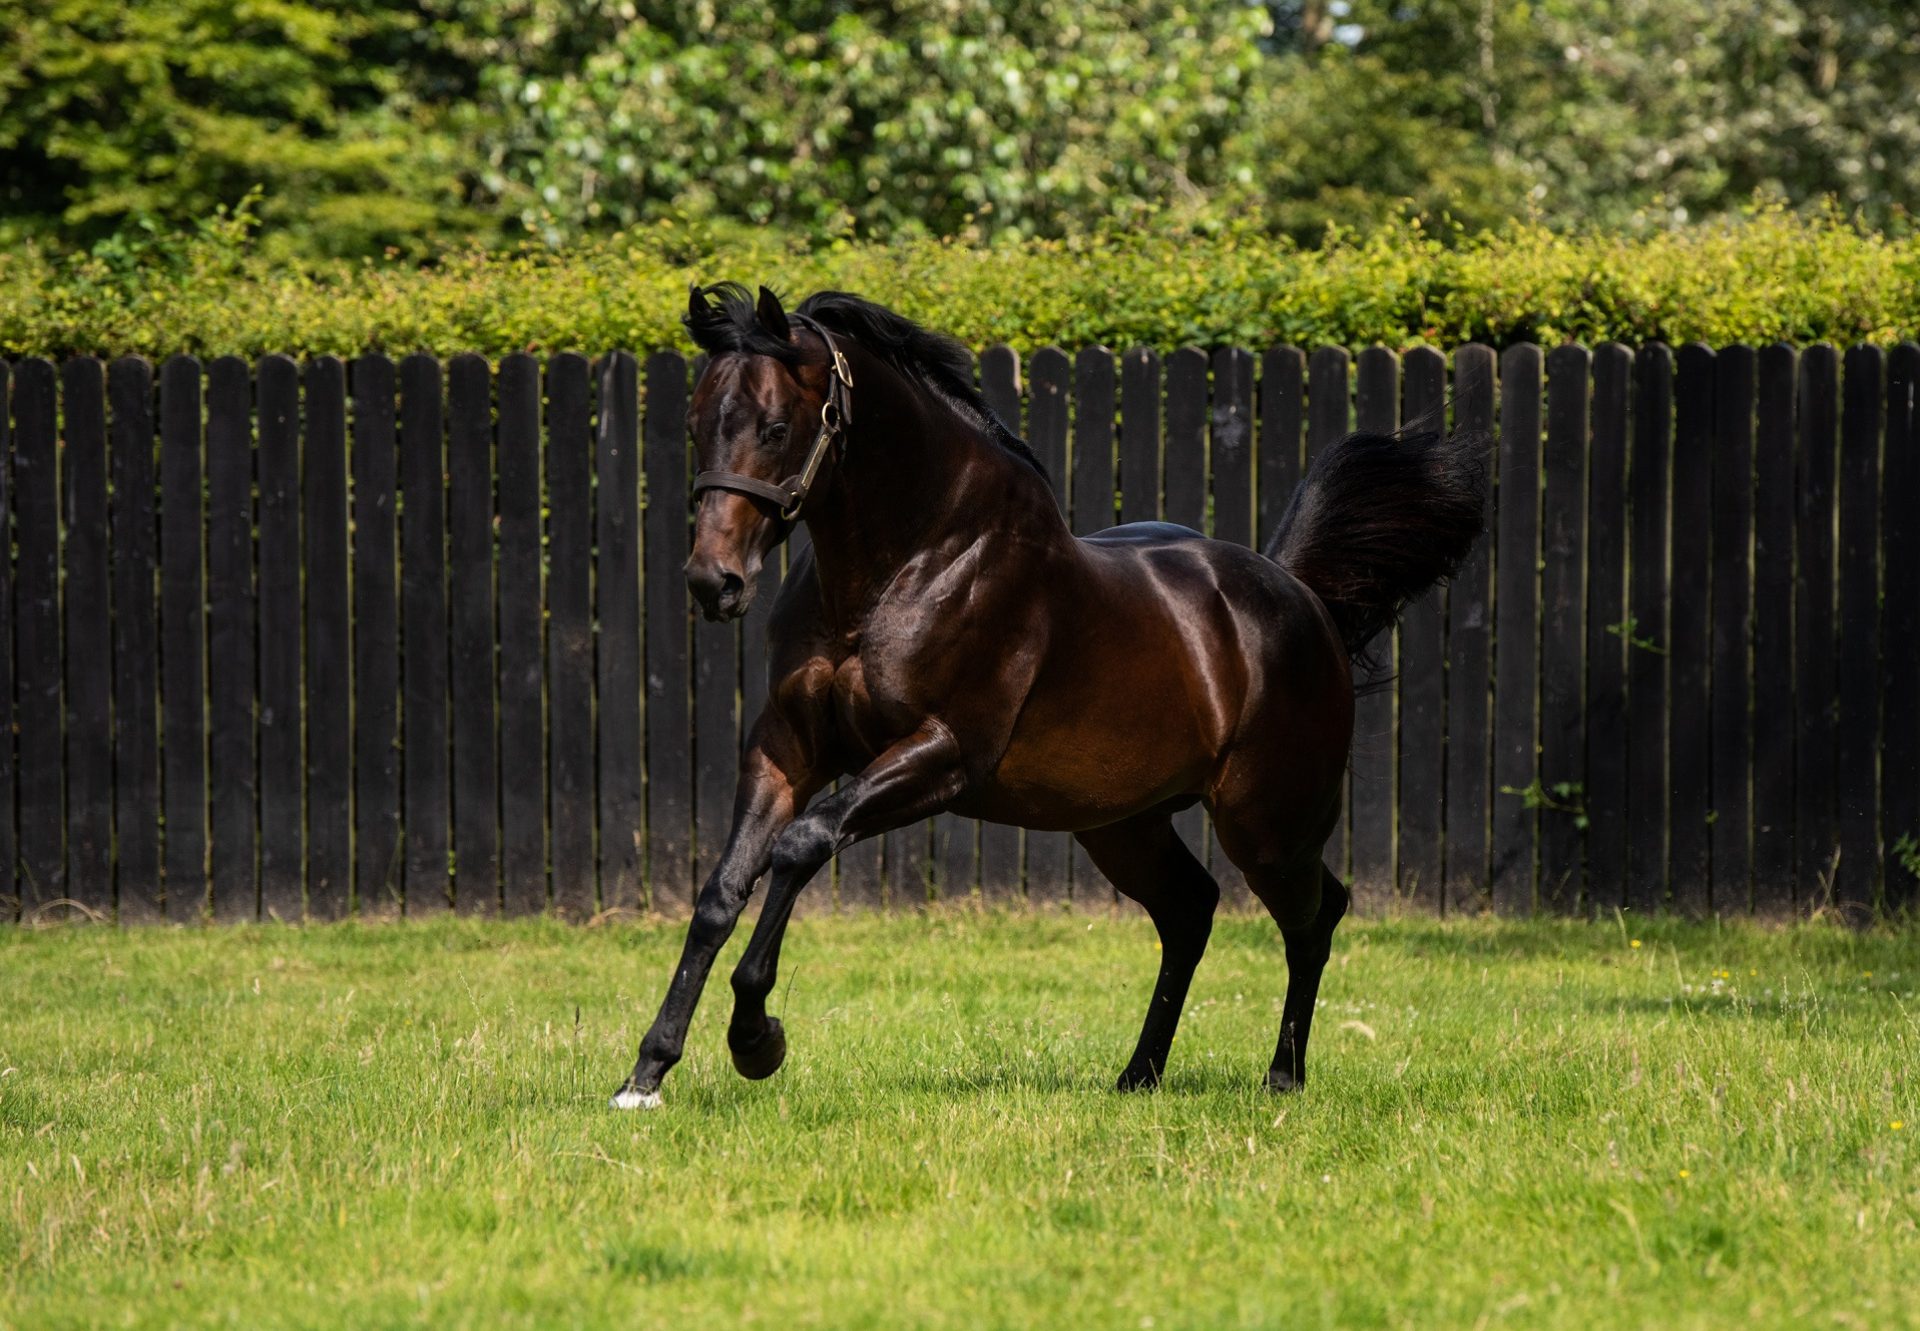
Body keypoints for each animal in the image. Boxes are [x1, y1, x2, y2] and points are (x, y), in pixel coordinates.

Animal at [614, 286, 1482, 1106]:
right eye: (696, 424)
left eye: (773, 426)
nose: (714, 581)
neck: (916, 559)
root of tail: (1301, 595)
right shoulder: (787, 745)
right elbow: (721, 892)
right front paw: (646, 1074)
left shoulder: (945, 753)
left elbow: (802, 844)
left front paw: (757, 1039)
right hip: (1123, 823)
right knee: (1191, 910)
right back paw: (1139, 1073)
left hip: (1268, 823)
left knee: (1315, 916)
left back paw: (1282, 1076)